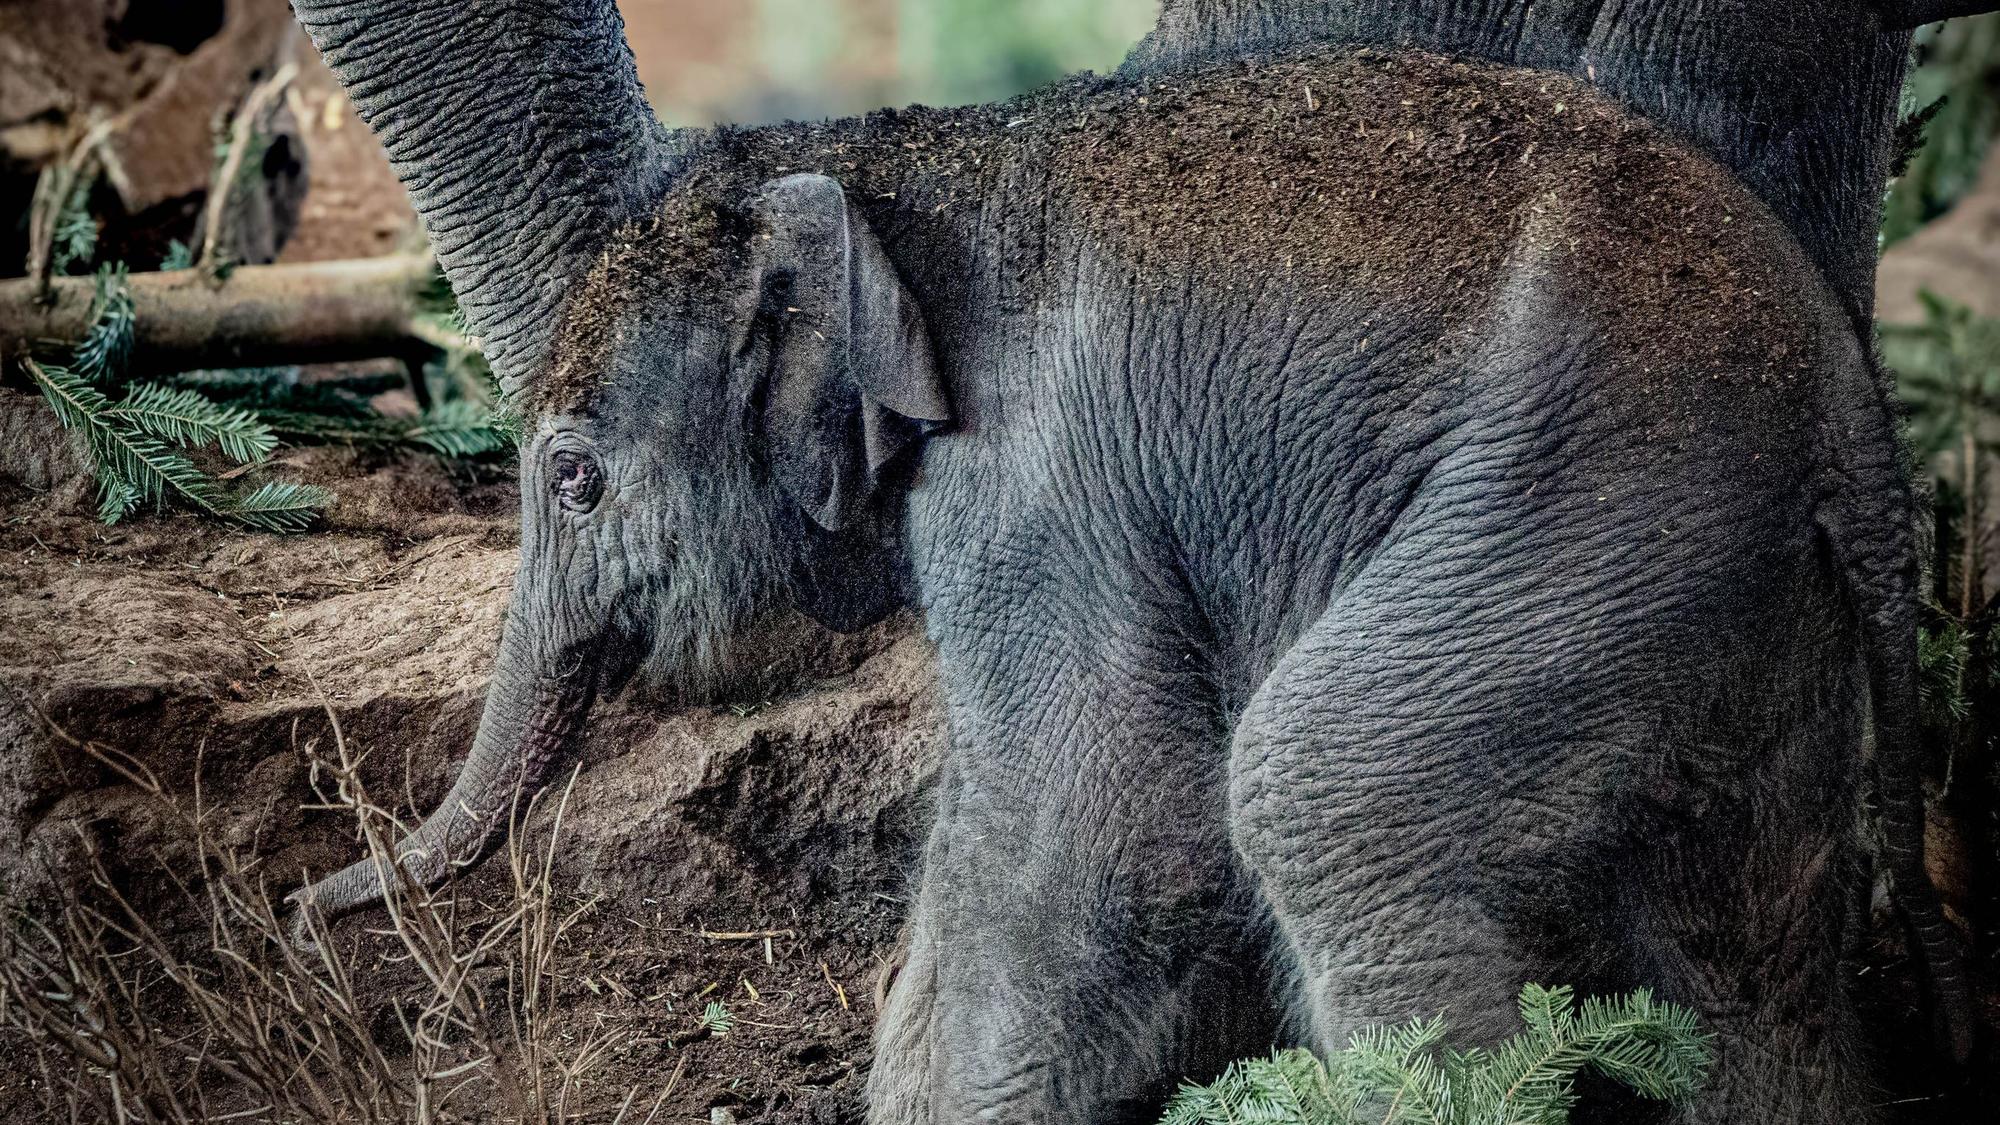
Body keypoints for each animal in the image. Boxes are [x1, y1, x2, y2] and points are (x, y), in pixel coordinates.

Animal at [283, 1, 1994, 1121]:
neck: (905, 167)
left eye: (571, 476)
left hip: (1593, 522)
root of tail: (1853, 401)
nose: (310, 904)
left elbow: (1101, 830)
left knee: (1324, 797)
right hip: (1730, 605)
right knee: (1750, 963)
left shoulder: (1037, 490)